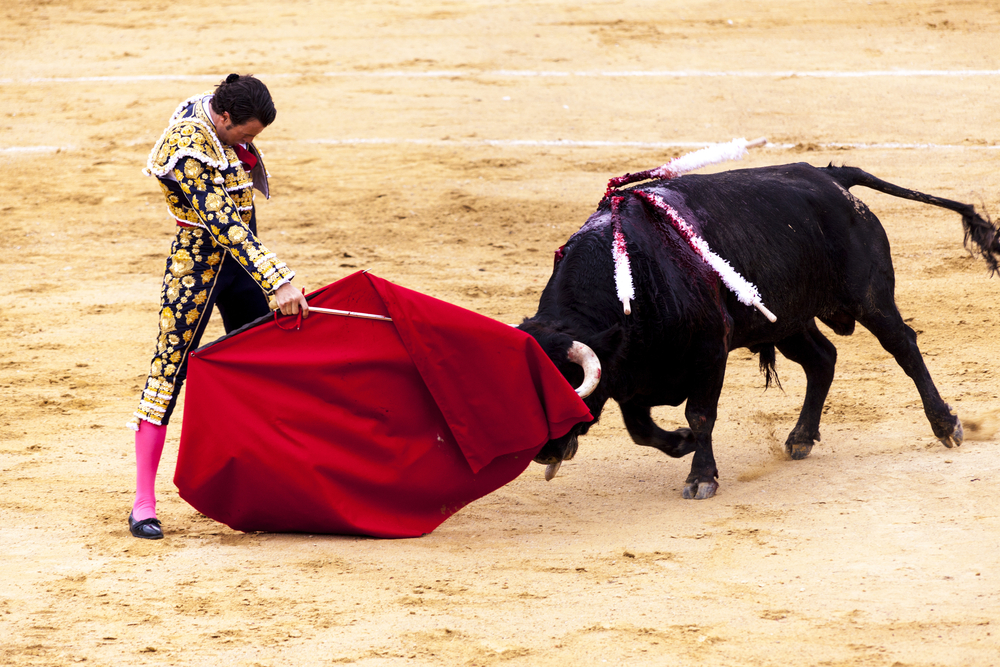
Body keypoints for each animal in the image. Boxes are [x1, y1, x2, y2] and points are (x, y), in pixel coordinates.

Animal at [520, 164, 996, 500]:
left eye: (562, 389)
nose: (541, 452)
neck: (632, 276)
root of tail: (829, 175)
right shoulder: (629, 375)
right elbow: (641, 429)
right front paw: (682, 444)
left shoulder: (710, 352)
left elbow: (700, 414)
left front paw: (701, 477)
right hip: (787, 321)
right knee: (822, 359)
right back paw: (801, 438)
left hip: (870, 298)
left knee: (904, 347)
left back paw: (946, 425)